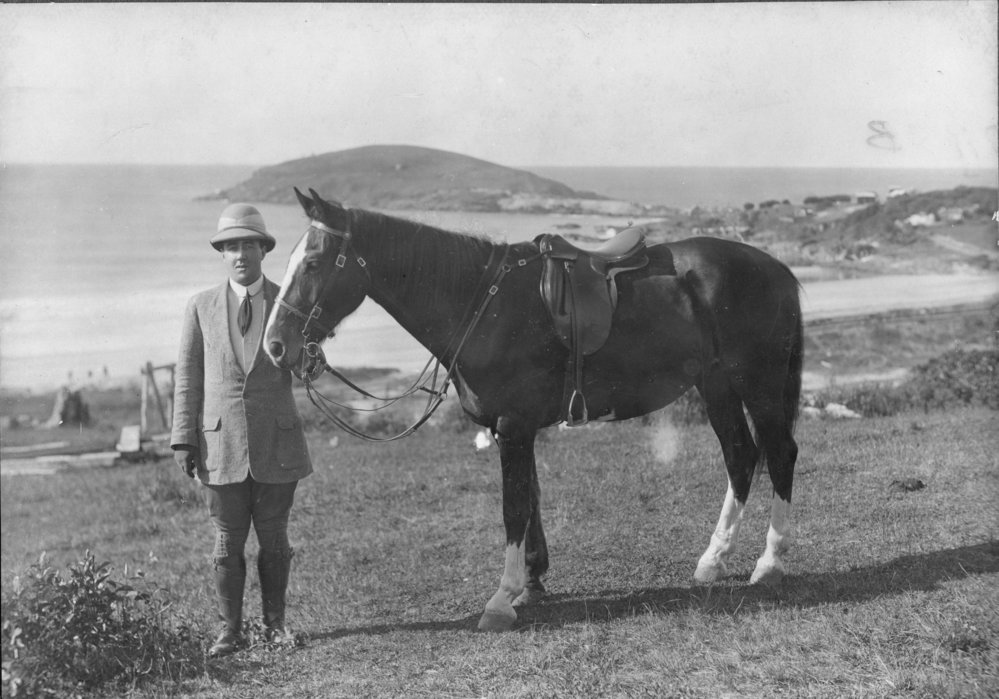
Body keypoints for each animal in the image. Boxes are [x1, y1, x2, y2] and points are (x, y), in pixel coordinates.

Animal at [265, 188, 803, 632]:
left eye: (313, 262)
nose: (275, 346)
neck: (482, 305)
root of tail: (776, 268)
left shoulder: (514, 427)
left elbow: (513, 509)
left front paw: (502, 600)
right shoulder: (515, 430)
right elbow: (532, 502)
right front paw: (531, 581)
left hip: (758, 383)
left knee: (779, 453)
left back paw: (770, 564)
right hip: (716, 386)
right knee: (740, 456)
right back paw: (713, 559)